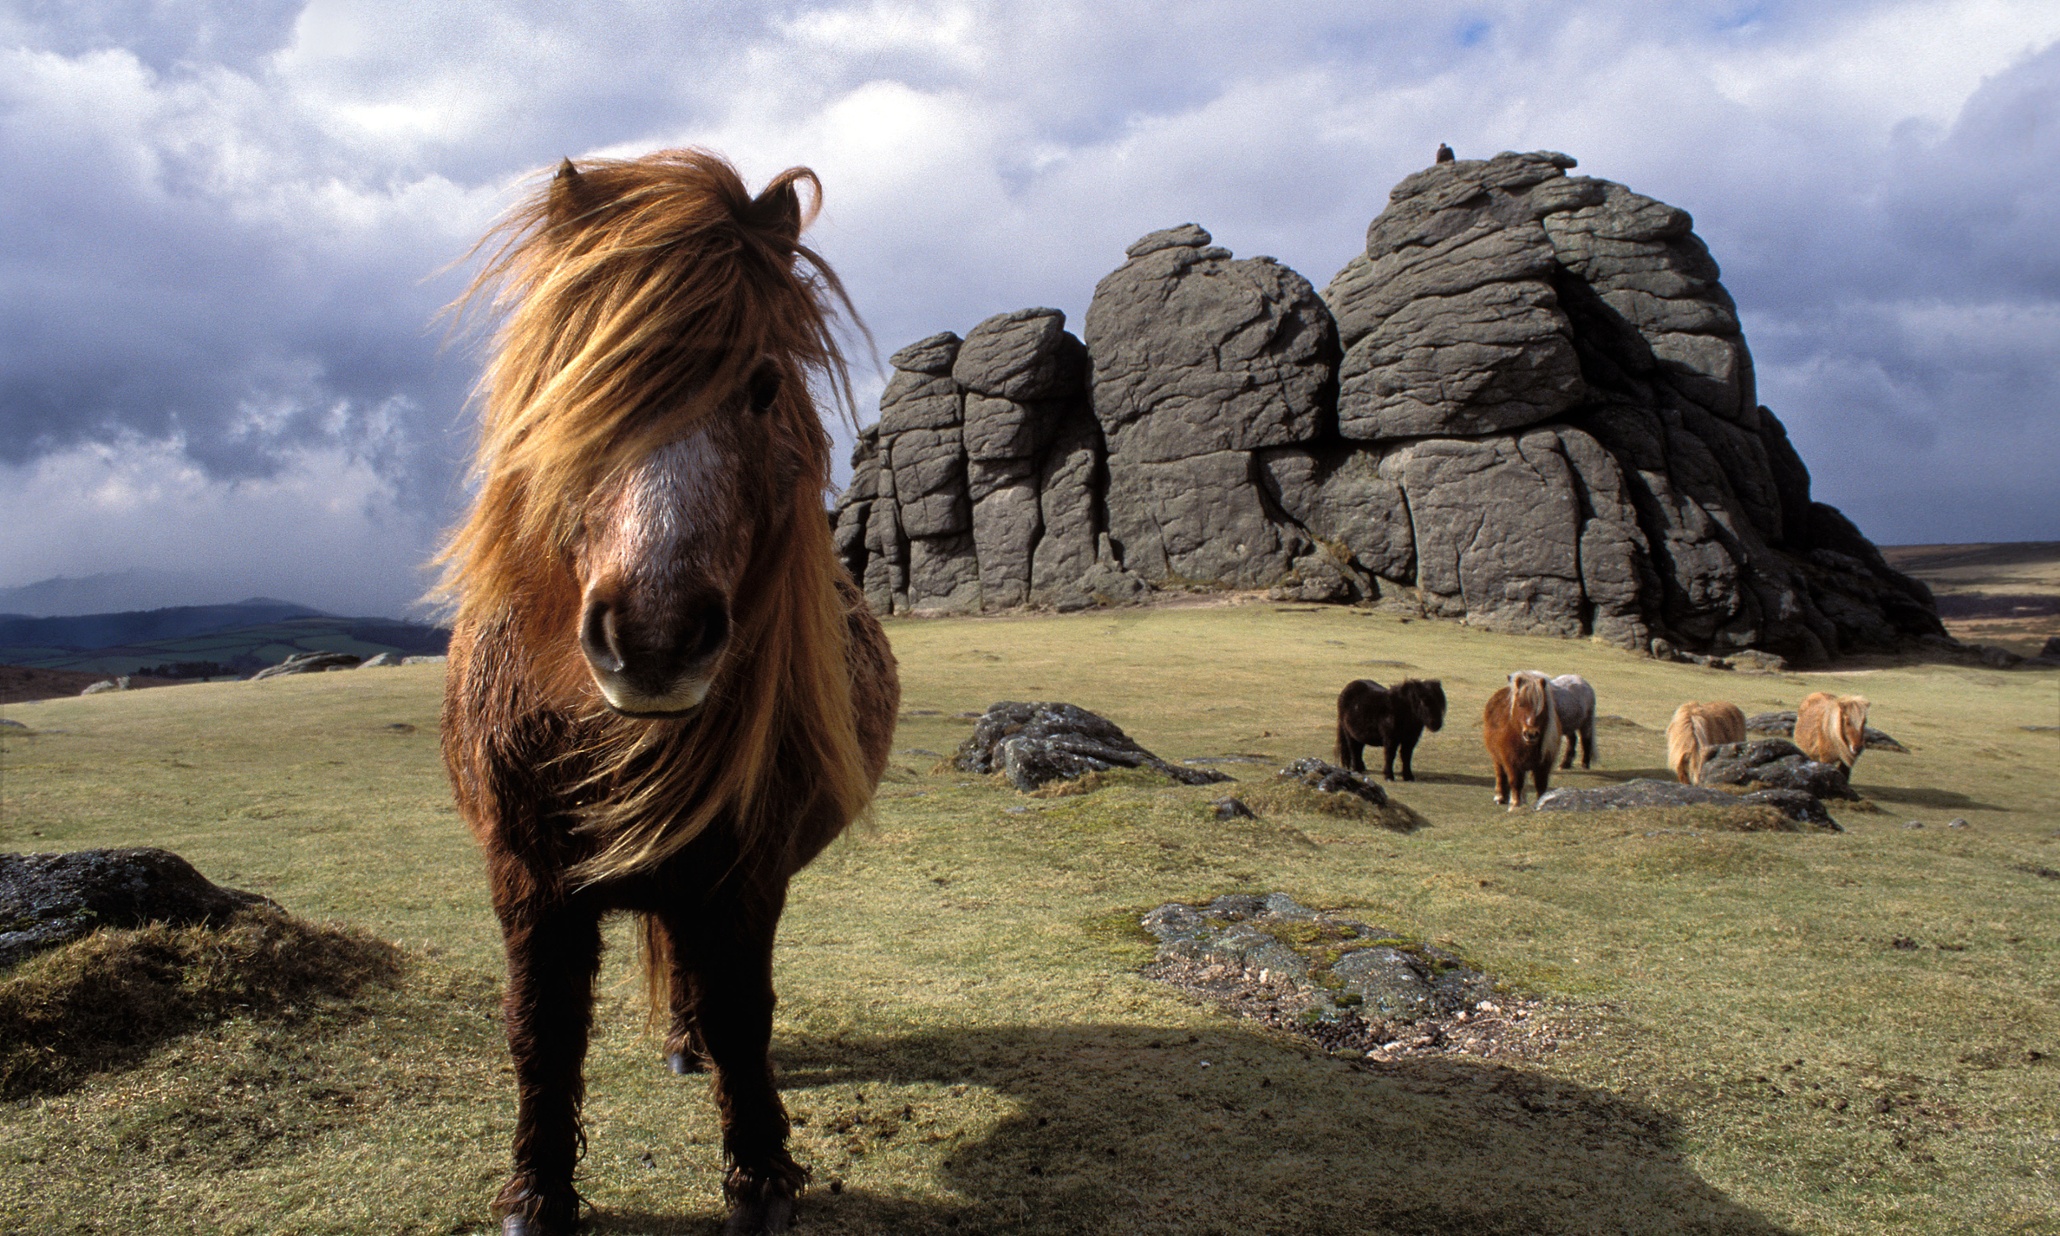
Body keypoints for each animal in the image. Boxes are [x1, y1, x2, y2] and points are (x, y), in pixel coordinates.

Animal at [438, 149, 898, 1227]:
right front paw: (537, 1192)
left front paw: (761, 1176)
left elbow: (741, 1013)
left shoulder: (744, 874)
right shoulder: (526, 882)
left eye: (762, 386)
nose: (653, 639)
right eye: (577, 382)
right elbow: (540, 1029)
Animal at [1483, 671, 1557, 807]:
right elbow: (1515, 782)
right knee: (1500, 774)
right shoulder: (1511, 762)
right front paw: (1515, 804)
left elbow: (1541, 786)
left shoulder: (1544, 765)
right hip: (1497, 758)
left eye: (1542, 706)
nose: (1531, 734)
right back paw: (1500, 797)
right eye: (1520, 704)